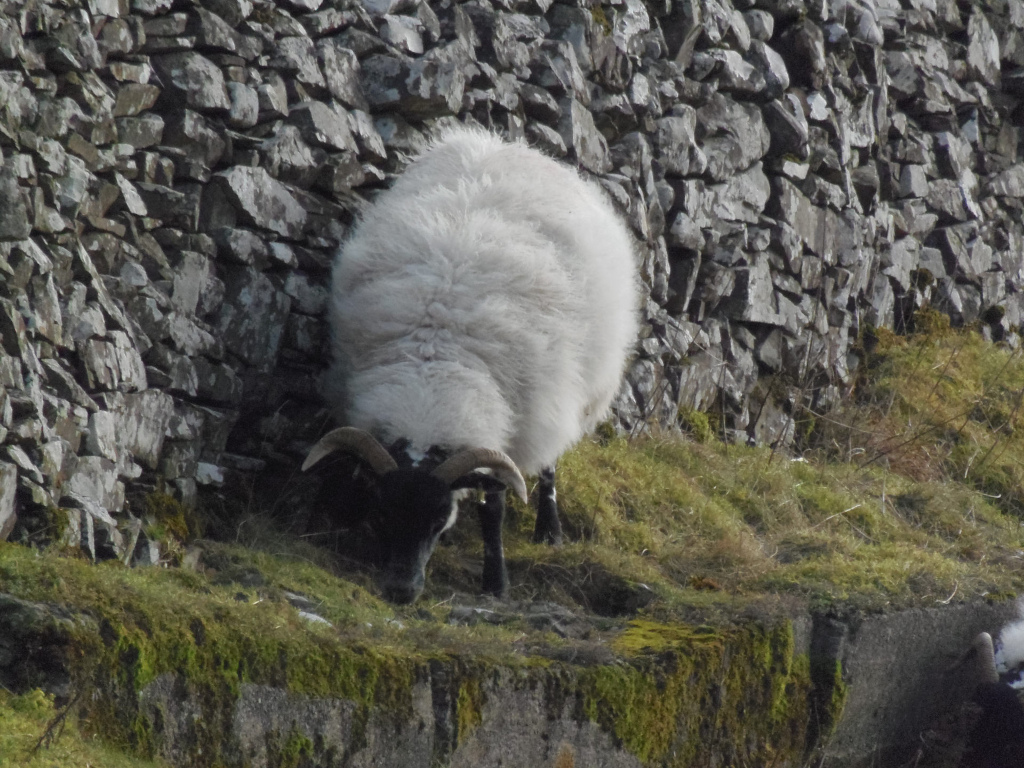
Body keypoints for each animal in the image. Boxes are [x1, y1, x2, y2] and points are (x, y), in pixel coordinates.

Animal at [303, 125, 639, 604]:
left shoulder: (504, 428)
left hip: (561, 392)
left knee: (550, 463)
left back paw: (549, 530)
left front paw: (496, 582)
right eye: (384, 513)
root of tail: (507, 144)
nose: (401, 591)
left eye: (439, 520)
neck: (432, 382)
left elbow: (493, 506)